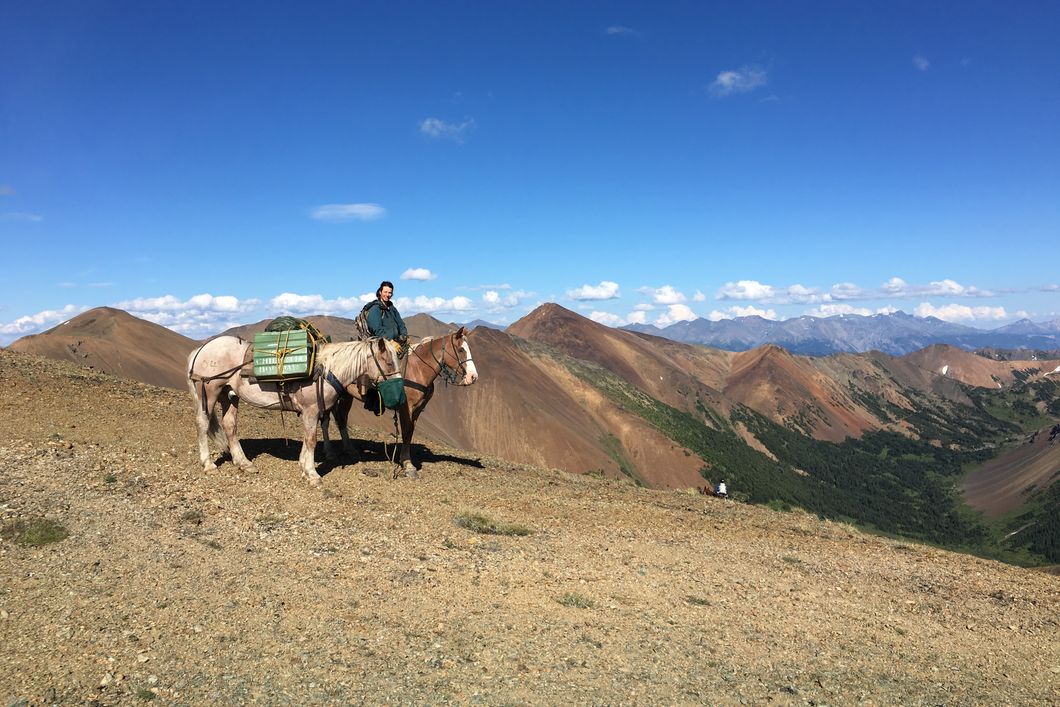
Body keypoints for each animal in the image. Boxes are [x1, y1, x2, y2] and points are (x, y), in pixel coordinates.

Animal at [187, 335, 402, 487]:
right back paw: (208, 464)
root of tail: (201, 349)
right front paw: (312, 474)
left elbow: (308, 438)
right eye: (389, 362)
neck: (325, 370)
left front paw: (304, 467)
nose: (399, 392)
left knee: (229, 425)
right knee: (202, 423)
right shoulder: (311, 410)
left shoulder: (313, 412)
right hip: (210, 392)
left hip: (228, 395)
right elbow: (311, 440)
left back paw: (243, 463)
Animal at [322, 327, 478, 477]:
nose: (473, 377)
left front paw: (406, 462)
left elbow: (410, 433)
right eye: (461, 350)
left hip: (345, 395)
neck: (418, 369)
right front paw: (408, 464)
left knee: (340, 418)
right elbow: (406, 431)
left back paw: (349, 450)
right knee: (330, 419)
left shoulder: (417, 410)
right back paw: (332, 452)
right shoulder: (406, 407)